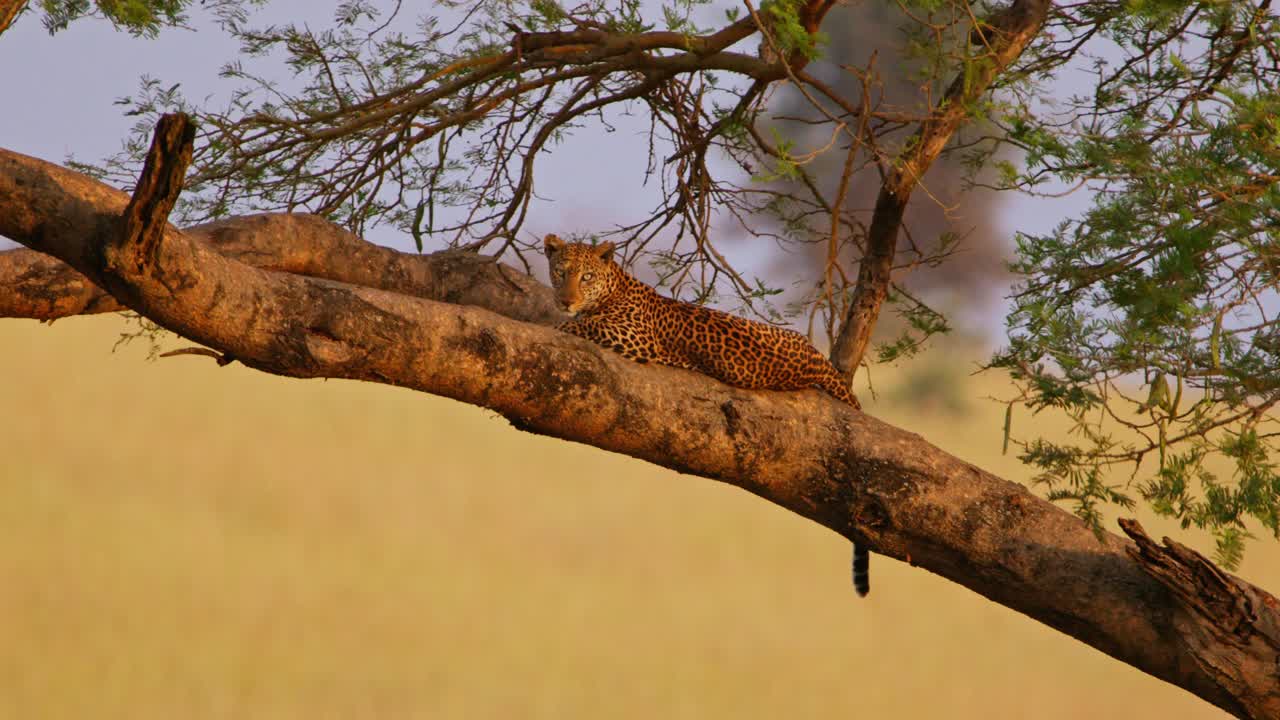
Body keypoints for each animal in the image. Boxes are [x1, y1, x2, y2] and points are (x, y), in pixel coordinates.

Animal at [544, 234, 872, 596]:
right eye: (560, 272)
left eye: (586, 277)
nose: (565, 300)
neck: (614, 287)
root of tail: (816, 356)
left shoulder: (631, 336)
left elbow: (581, 325)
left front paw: (556, 321)